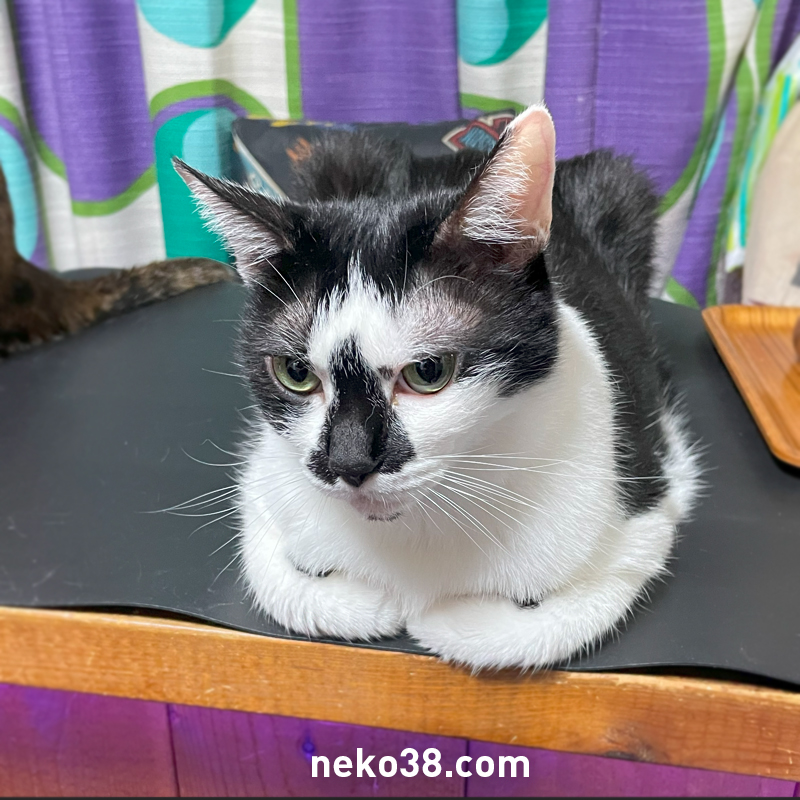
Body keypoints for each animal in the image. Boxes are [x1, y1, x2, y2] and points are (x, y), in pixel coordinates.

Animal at [175, 104, 701, 670]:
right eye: (296, 373)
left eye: (429, 372)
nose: (347, 463)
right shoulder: (264, 484)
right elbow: (282, 581)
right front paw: (369, 599)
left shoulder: (648, 506)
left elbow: (549, 620)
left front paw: (448, 617)